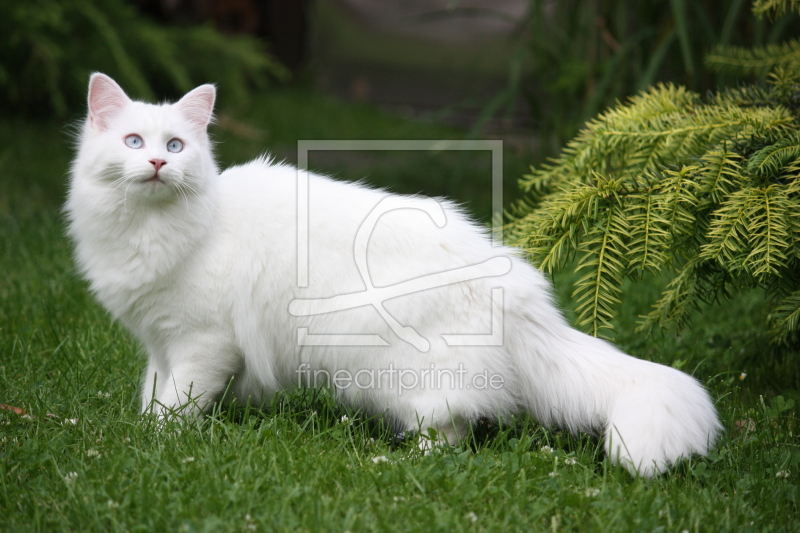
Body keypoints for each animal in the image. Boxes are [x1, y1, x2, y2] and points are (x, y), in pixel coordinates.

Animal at [65, 72, 720, 476]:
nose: (156, 163)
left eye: (176, 146)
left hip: (407, 373)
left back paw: (407, 463)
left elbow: (179, 403)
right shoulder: (161, 342)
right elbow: (154, 393)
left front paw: (161, 443)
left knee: (452, 429)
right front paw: (144, 431)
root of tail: (518, 290)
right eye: (133, 141)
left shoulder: (203, 343)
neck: (151, 233)